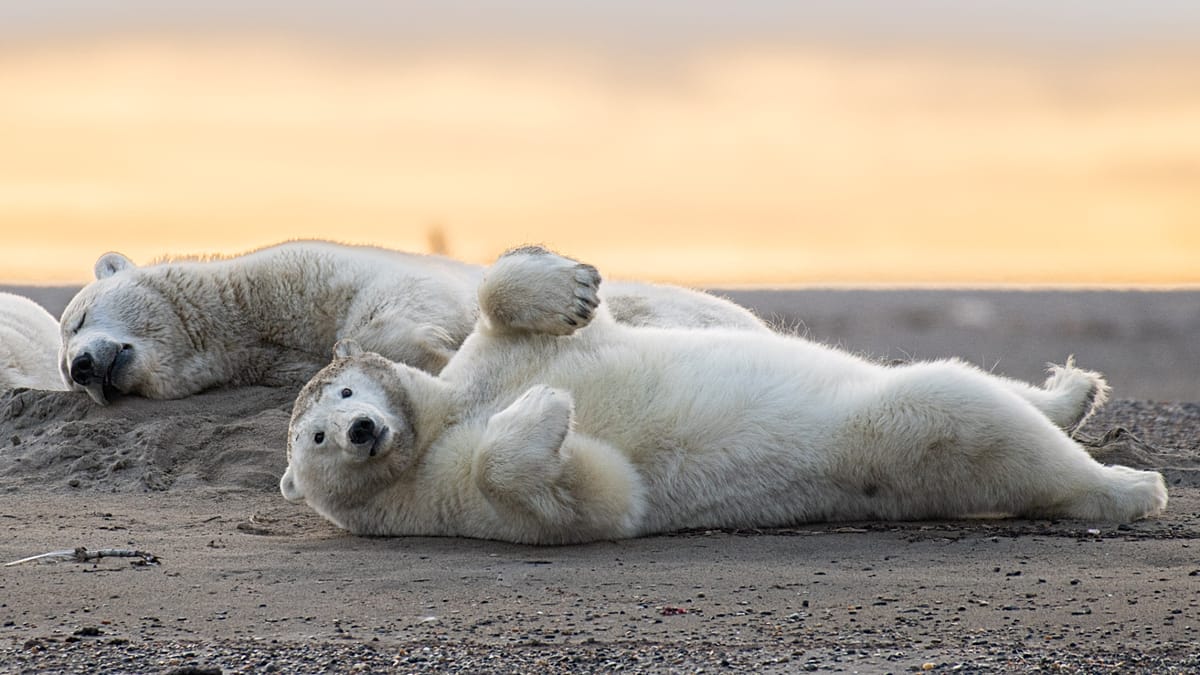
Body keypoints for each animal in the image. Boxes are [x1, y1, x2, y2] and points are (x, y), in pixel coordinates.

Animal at [279, 246, 1166, 544]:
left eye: (346, 388)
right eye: (313, 437)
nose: (359, 430)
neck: (435, 424)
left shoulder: (486, 362)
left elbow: (510, 306)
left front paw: (572, 286)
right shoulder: (441, 500)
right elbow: (593, 496)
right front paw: (545, 413)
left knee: (973, 385)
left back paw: (1072, 391)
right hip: (896, 445)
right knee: (959, 411)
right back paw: (1126, 486)